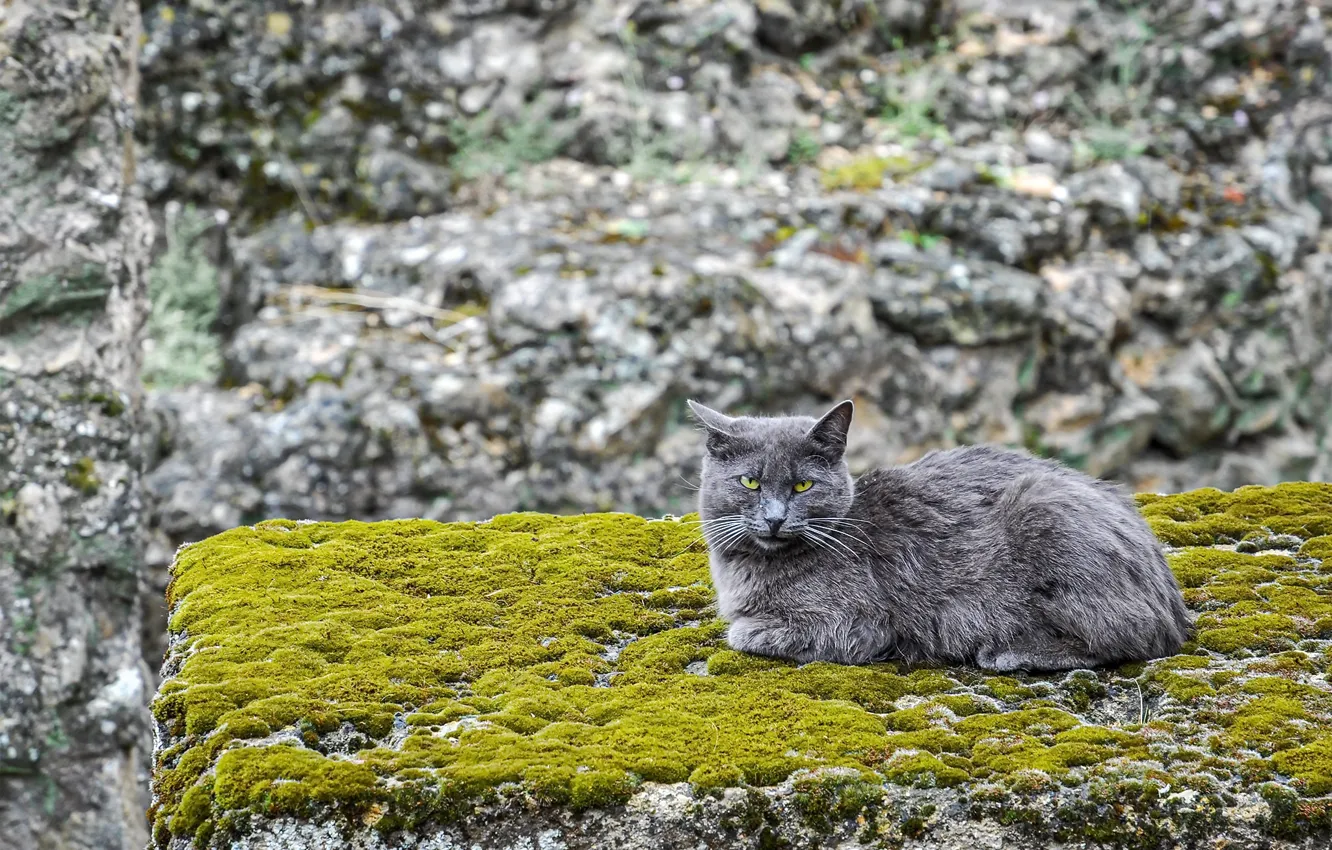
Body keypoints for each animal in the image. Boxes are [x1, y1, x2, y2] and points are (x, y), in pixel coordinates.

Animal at [692, 399, 1193, 671]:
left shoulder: (854, 625)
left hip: (1045, 506)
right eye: (750, 483)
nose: (775, 518)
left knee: (1128, 635)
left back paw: (1008, 651)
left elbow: (743, 632)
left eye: (802, 486)